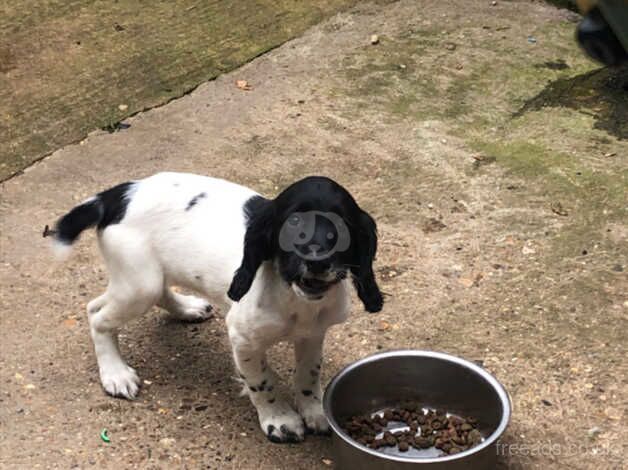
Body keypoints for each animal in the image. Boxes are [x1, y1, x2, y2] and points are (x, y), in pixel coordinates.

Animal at [47, 171, 382, 442]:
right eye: (293, 223)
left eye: (342, 227)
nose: (317, 261)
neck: (295, 299)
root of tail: (115, 195)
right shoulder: (243, 338)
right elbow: (262, 381)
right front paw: (280, 420)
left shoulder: (313, 333)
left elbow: (309, 374)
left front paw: (314, 410)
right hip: (139, 284)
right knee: (96, 313)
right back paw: (115, 374)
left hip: (146, 278)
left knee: (146, 295)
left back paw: (187, 308)